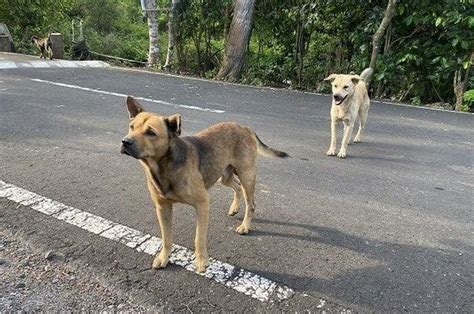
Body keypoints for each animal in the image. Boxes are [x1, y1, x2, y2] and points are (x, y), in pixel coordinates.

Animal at [120, 97, 286, 274]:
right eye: (132, 127)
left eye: (151, 132)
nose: (125, 142)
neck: (164, 166)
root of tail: (245, 127)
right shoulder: (162, 207)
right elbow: (166, 237)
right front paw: (164, 257)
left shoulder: (202, 204)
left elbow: (199, 238)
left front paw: (201, 261)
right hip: (224, 176)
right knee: (237, 187)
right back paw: (234, 208)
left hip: (246, 174)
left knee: (251, 203)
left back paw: (245, 226)